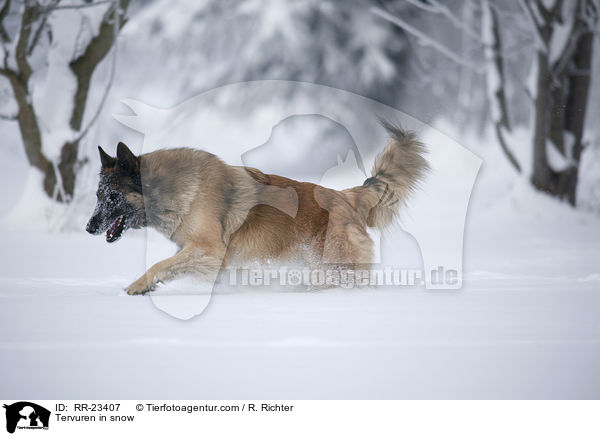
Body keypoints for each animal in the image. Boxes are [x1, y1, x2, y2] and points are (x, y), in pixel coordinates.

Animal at [86, 122, 428, 292]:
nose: (89, 228)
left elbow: (158, 265)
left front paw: (136, 287)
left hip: (336, 270)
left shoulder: (208, 250)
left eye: (112, 197)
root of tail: (347, 196)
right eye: (98, 195)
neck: (172, 189)